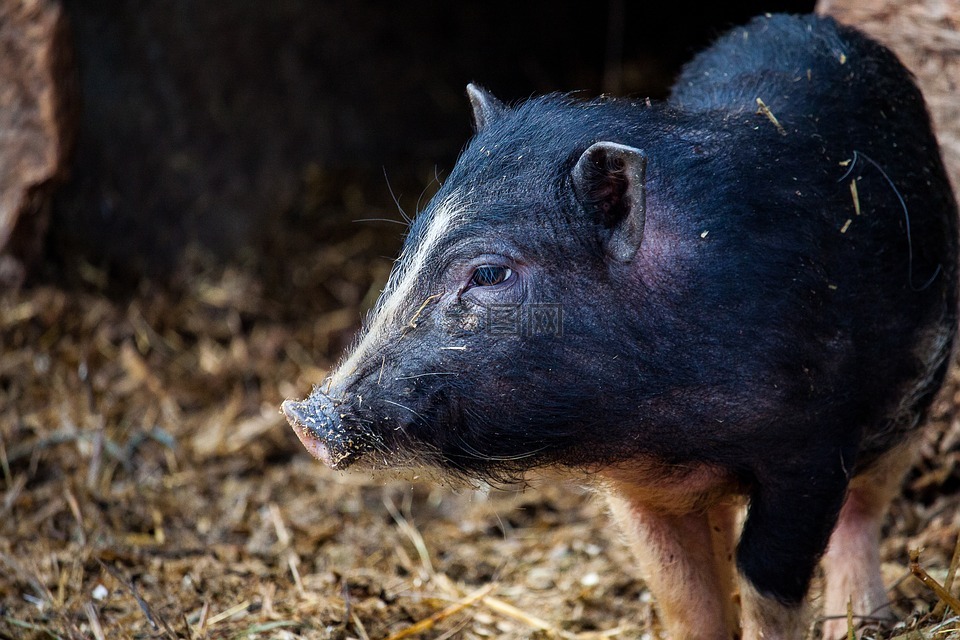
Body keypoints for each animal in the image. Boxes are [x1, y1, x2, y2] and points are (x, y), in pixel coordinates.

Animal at [282, 13, 956, 640]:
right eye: (410, 243)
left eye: (490, 273)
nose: (305, 417)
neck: (671, 427)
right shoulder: (638, 488)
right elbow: (684, 593)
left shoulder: (813, 446)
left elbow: (770, 581)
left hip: (913, 397)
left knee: (863, 511)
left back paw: (863, 624)